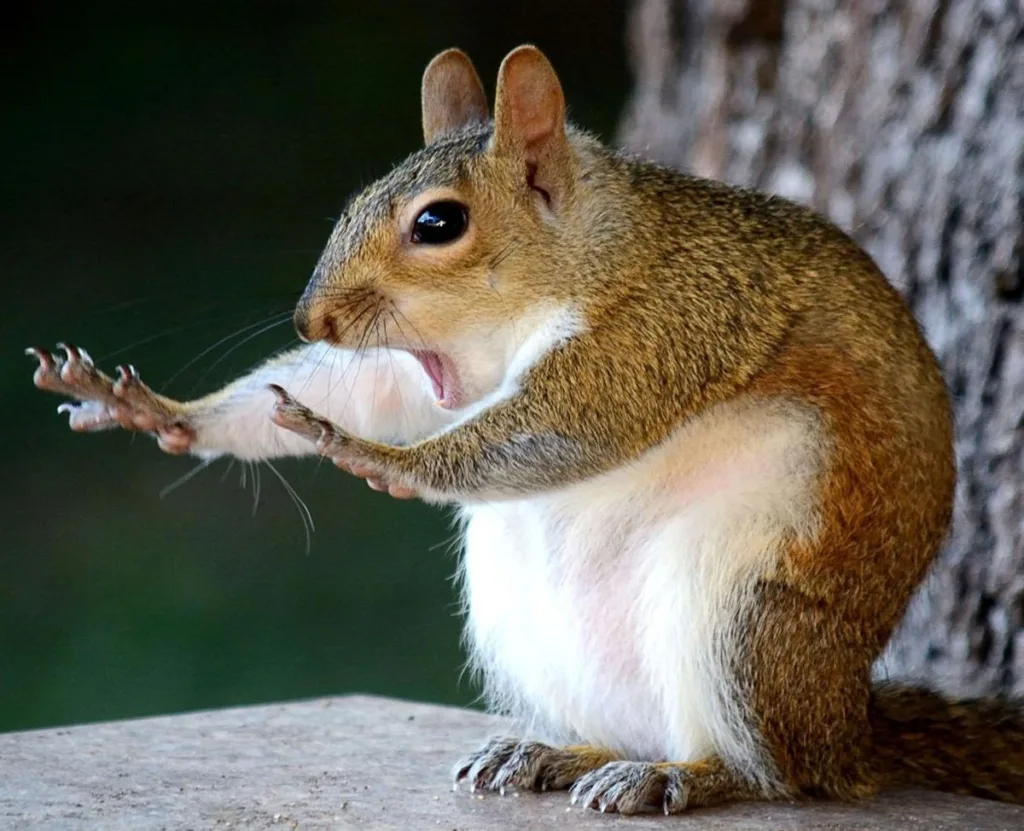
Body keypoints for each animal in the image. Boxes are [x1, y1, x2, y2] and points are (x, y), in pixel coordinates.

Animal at [24, 45, 1024, 810]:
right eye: (355, 200)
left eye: (439, 222)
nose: (314, 320)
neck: (589, 253)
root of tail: (847, 729)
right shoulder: (419, 369)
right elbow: (365, 389)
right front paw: (159, 410)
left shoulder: (670, 323)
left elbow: (567, 425)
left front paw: (375, 455)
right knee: (624, 727)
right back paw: (555, 751)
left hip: (746, 618)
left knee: (774, 771)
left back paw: (682, 777)